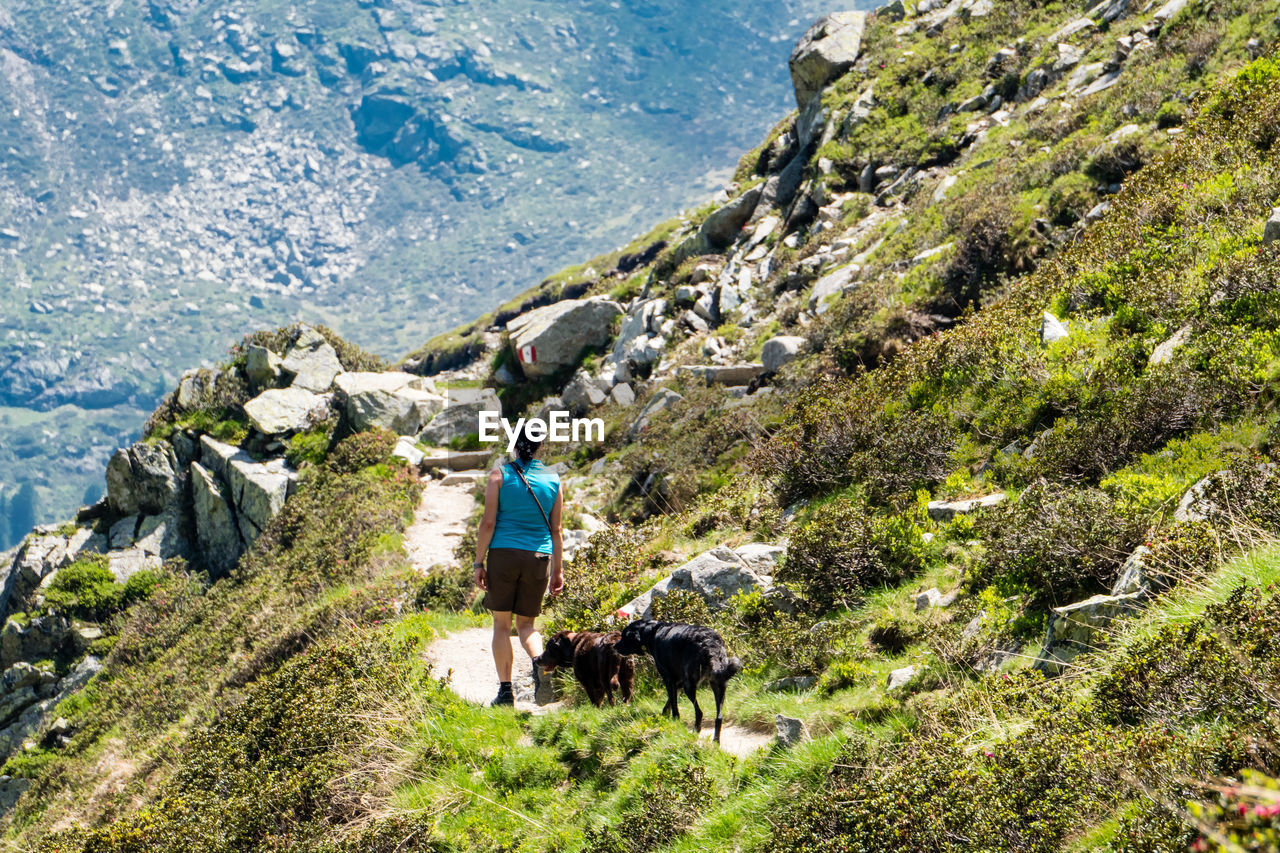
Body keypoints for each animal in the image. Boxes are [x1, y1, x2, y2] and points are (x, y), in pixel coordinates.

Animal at [611, 617, 742, 737]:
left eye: (624, 637)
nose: (614, 646)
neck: (650, 631)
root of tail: (710, 642)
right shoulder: (677, 683)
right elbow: (669, 703)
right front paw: (663, 716)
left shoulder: (669, 679)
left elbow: (674, 705)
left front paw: (674, 721)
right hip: (718, 684)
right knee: (719, 717)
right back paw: (715, 742)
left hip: (689, 685)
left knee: (699, 712)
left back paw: (696, 731)